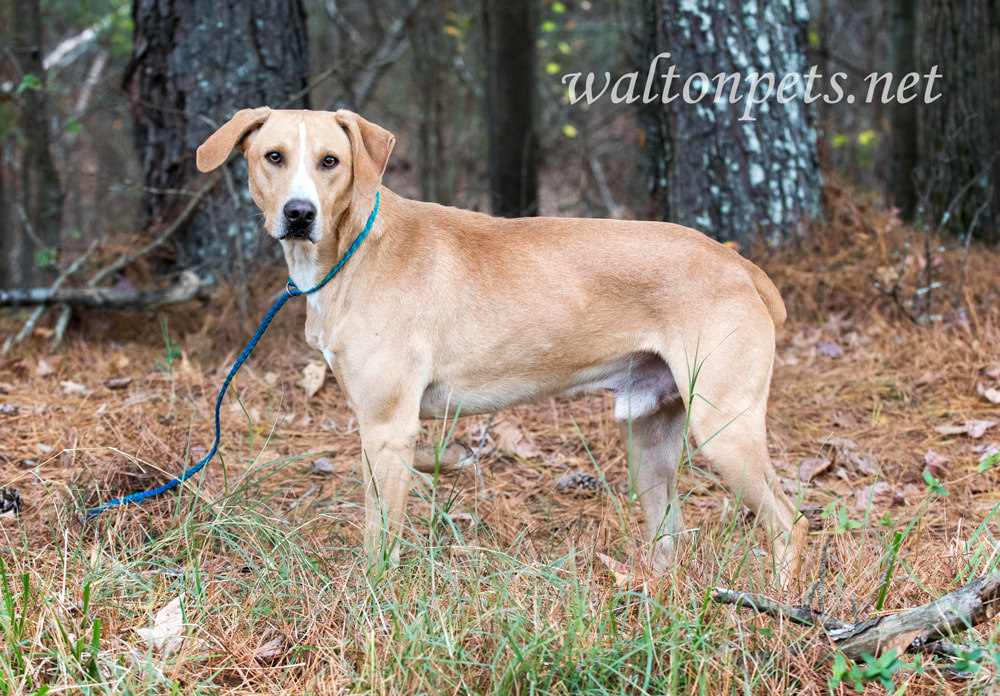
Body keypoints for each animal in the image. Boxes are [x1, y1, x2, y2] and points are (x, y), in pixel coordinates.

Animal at [199, 104, 808, 580]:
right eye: (273, 157)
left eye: (331, 162)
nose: (299, 214)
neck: (353, 250)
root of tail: (739, 264)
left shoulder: (387, 429)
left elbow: (378, 537)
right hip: (648, 442)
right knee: (670, 534)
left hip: (723, 429)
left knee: (790, 521)